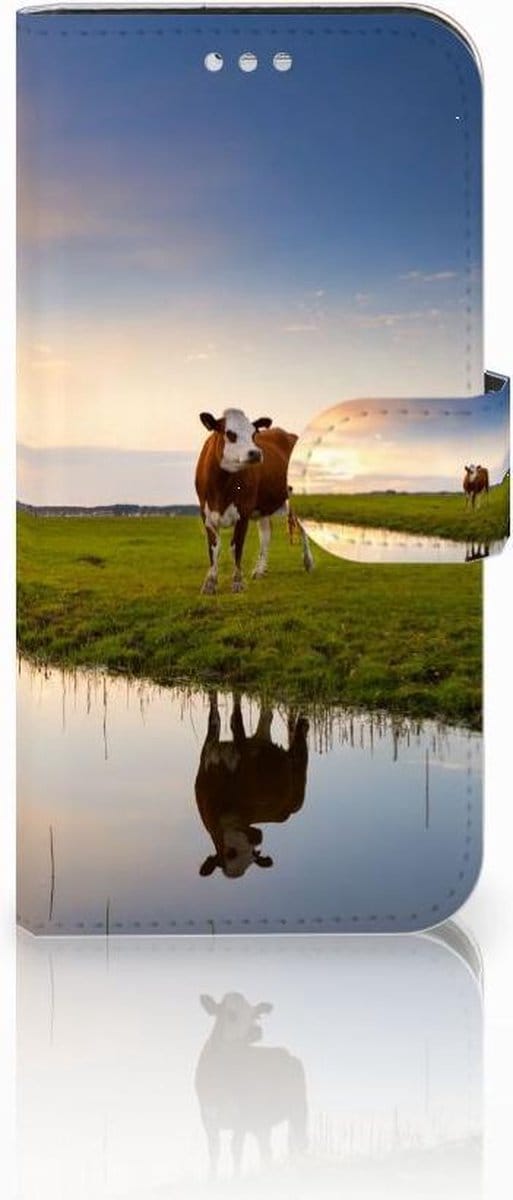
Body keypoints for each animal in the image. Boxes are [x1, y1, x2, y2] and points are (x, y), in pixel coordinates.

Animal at [195, 408, 313, 594]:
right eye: (230, 434)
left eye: (253, 434)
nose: (256, 453)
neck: (221, 487)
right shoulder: (206, 514)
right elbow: (214, 548)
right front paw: (210, 583)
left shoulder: (243, 512)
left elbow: (236, 546)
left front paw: (237, 582)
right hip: (262, 506)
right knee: (266, 534)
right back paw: (259, 570)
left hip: (293, 497)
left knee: (302, 527)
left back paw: (308, 562)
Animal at [195, 693, 309, 879]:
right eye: (230, 853)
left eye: (253, 854)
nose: (258, 837)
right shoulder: (208, 750)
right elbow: (215, 716)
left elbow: (235, 720)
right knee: (267, 716)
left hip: (298, 788)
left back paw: (303, 725)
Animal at [195, 992, 308, 1176]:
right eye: (231, 1013)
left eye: (255, 1015)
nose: (256, 1030)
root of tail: (288, 1053)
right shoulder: (208, 1117)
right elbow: (214, 1151)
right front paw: (212, 1179)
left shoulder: (242, 1117)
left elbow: (236, 1149)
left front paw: (237, 1178)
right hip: (262, 1122)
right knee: (267, 1151)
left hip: (298, 1109)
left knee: (299, 1144)